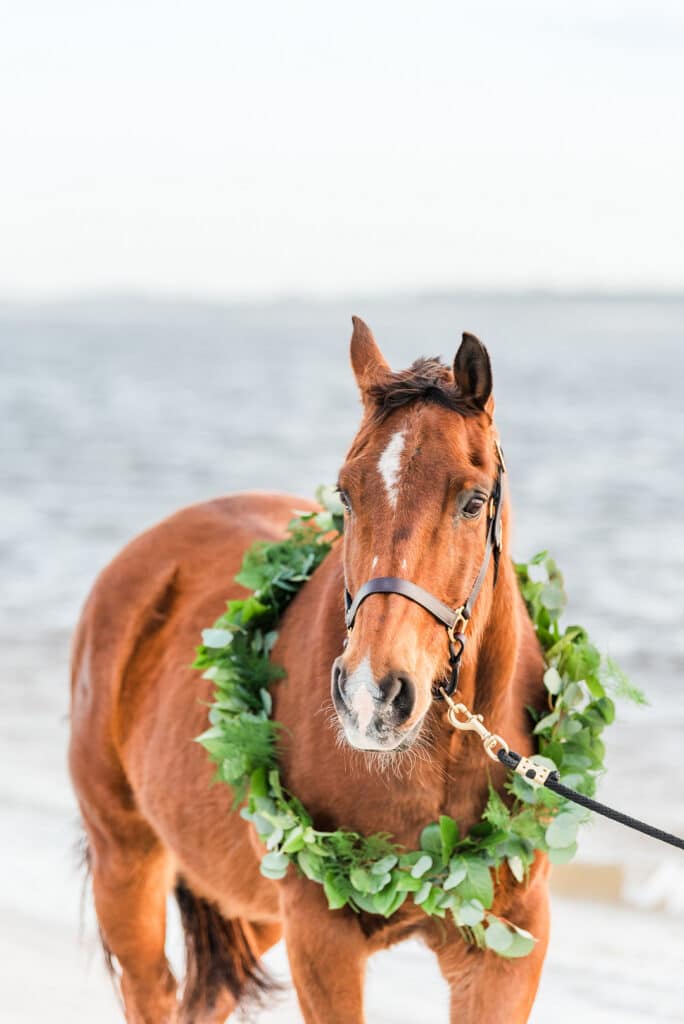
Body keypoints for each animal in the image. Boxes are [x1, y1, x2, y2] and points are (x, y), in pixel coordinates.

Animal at [69, 317, 550, 1023]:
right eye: (346, 494)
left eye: (473, 500)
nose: (372, 696)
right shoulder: (321, 938)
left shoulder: (507, 952)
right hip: (126, 865)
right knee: (149, 988)